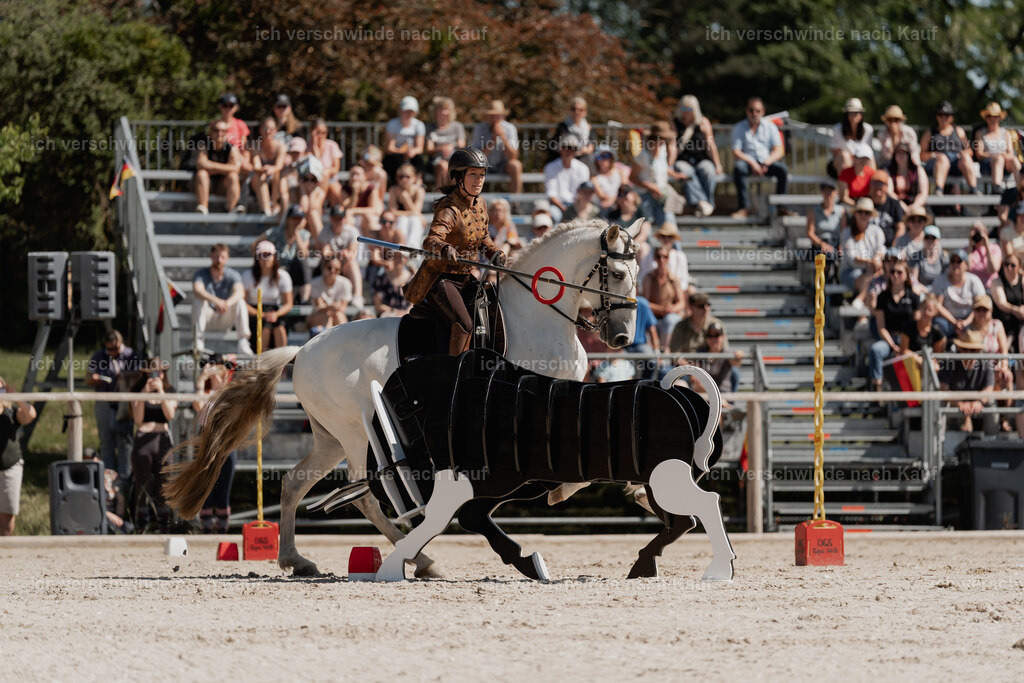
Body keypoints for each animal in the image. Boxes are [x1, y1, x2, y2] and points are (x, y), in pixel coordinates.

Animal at [164, 218, 643, 576]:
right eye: (618, 274)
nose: (622, 336)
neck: (535, 316)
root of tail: (302, 351)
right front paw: (563, 492)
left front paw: (632, 489)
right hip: (357, 434)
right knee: (362, 494)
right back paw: (423, 560)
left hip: (330, 438)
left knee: (295, 483)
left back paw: (297, 561)